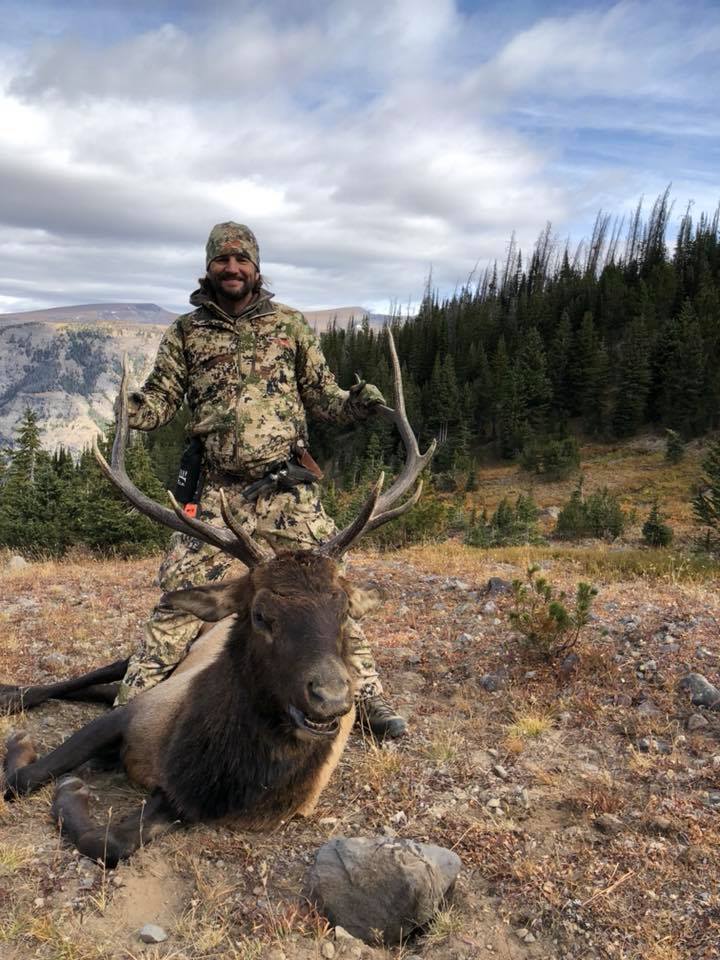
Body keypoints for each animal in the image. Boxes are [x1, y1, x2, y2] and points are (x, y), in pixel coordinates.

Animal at [1, 336, 434, 872]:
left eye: (345, 611)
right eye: (261, 614)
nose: (332, 697)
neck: (209, 764)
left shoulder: (184, 800)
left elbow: (114, 842)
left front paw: (74, 790)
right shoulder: (136, 713)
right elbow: (23, 777)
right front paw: (25, 745)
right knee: (95, 677)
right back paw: (12, 694)